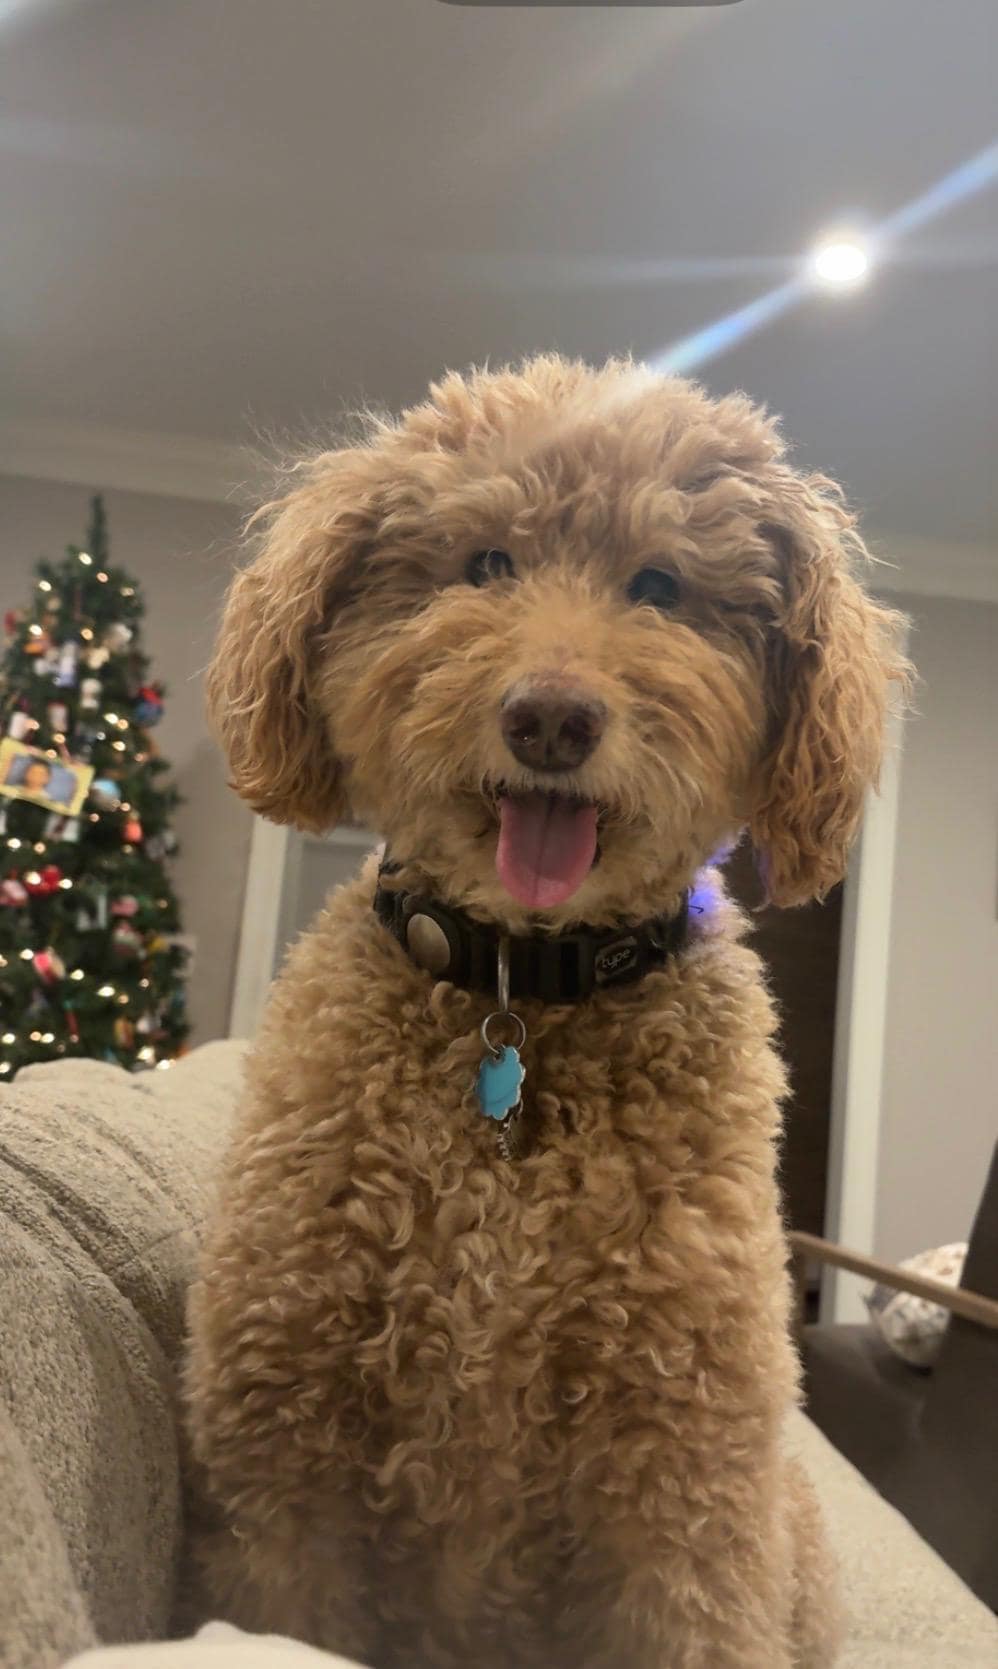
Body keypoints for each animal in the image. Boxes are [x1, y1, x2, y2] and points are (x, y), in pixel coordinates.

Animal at [186, 356, 909, 1668]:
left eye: (660, 586)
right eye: (484, 564)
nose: (550, 718)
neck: (523, 993)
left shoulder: (684, 1490)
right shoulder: (282, 1449)